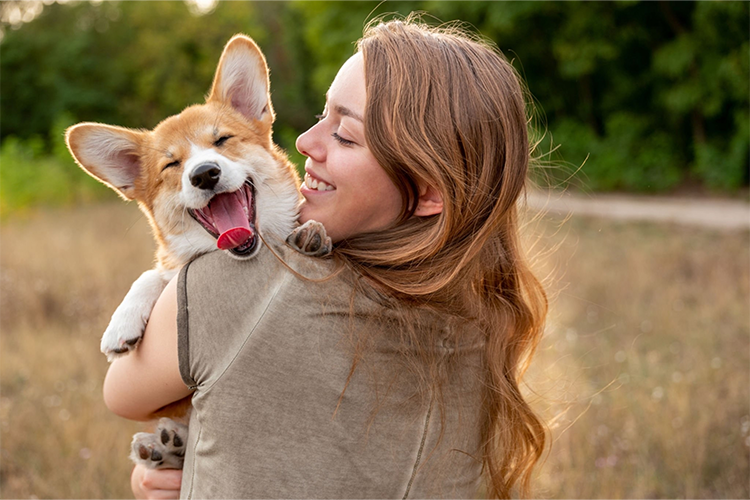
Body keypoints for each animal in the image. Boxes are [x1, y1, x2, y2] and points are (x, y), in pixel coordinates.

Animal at [66, 35, 330, 468]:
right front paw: (121, 325)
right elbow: (153, 274)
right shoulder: (172, 266)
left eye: (222, 140)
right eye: (171, 165)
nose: (205, 174)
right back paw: (163, 446)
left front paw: (312, 233)